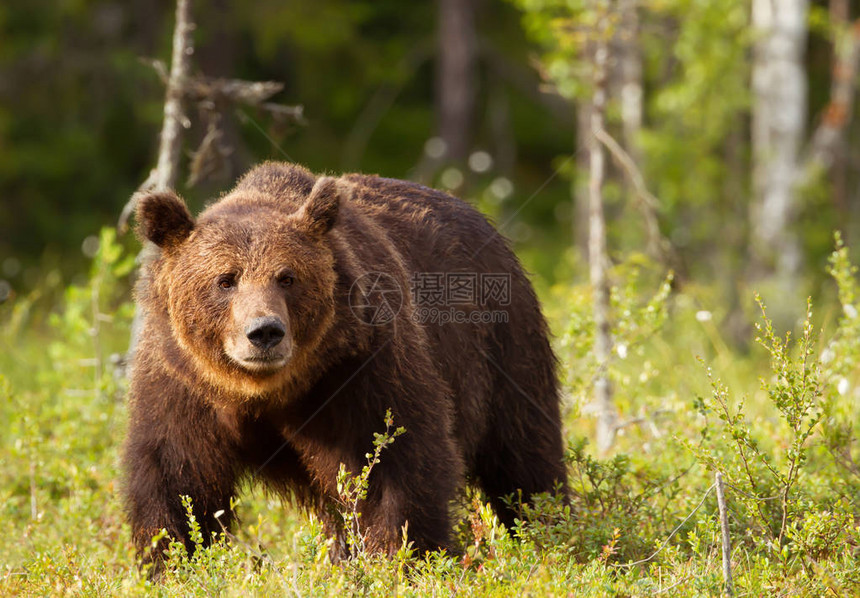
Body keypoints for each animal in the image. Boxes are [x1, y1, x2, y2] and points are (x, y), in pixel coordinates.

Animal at [119, 162, 564, 568]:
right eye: (225, 279)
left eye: (287, 277)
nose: (264, 332)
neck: (265, 391)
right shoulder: (182, 384)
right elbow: (175, 481)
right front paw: (174, 562)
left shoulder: (360, 370)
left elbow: (394, 466)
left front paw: (403, 558)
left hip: (503, 345)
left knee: (524, 454)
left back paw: (553, 532)